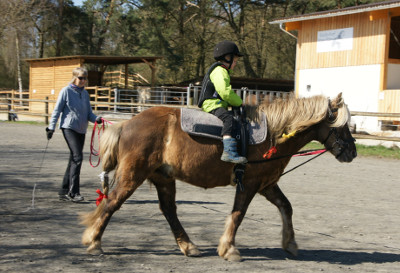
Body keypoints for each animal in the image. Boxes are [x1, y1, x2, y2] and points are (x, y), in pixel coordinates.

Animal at [80, 92, 356, 260]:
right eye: (341, 125)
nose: (352, 152)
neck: (272, 135)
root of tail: (127, 124)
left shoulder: (267, 184)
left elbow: (286, 207)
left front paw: (290, 243)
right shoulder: (250, 184)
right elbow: (238, 214)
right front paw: (229, 248)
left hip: (163, 178)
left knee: (168, 210)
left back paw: (188, 246)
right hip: (133, 175)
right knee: (112, 203)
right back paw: (94, 242)